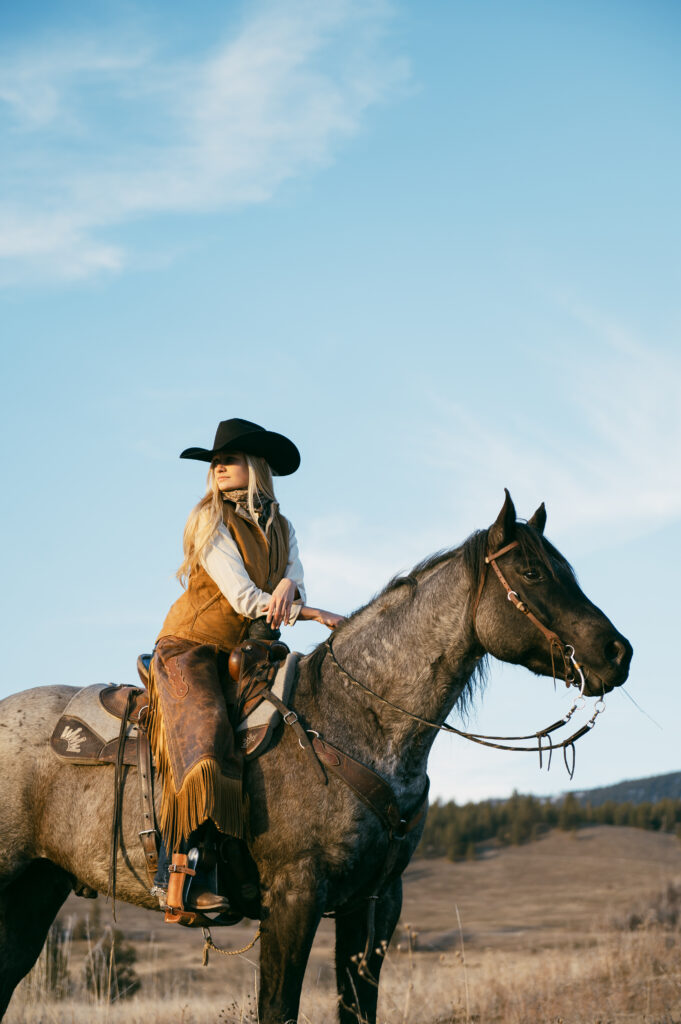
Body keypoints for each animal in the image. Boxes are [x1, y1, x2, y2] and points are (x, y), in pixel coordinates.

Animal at [0, 491, 630, 1019]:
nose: (617, 652)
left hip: (35, 894)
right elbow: (279, 1008)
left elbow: (357, 1008)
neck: (351, 720)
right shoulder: (294, 898)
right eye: (532, 571)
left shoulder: (375, 904)